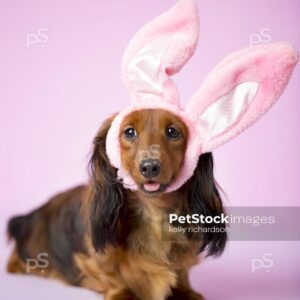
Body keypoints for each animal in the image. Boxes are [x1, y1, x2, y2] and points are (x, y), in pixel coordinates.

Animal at [7, 108, 226, 300]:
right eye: (129, 132)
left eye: (173, 131)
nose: (150, 167)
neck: (154, 213)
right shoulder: (93, 258)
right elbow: (112, 276)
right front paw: (122, 293)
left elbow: (182, 274)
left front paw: (186, 292)